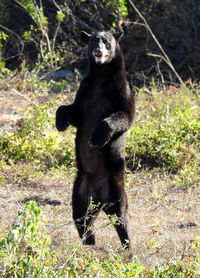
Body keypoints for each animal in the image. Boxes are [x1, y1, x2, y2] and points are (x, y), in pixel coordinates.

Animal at [55, 29, 135, 248]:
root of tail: (99, 197)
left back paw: (128, 245)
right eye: (92, 41)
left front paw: (97, 137)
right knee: (80, 217)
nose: (98, 50)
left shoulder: (121, 90)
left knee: (121, 216)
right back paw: (89, 241)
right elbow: (73, 111)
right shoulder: (85, 90)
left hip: (116, 188)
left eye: (106, 42)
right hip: (80, 190)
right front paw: (61, 122)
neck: (101, 76)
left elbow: (125, 115)